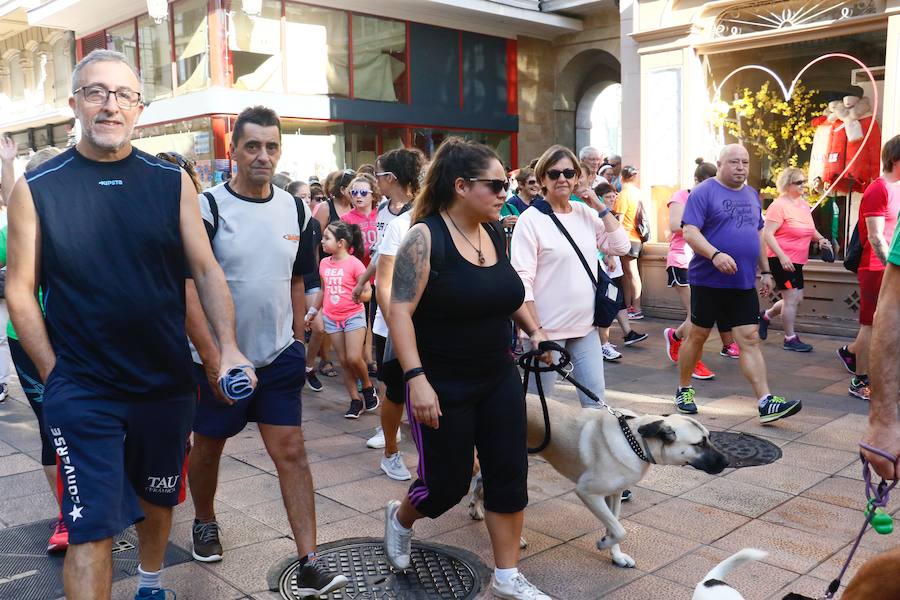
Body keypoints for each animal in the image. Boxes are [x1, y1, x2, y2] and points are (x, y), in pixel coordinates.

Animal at [472, 394, 732, 568]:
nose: (728, 461)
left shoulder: (614, 494)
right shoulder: (587, 492)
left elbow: (614, 524)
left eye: (709, 438)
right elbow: (620, 529)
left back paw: (475, 510)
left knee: (479, 482)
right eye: (699, 444)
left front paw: (615, 554)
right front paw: (604, 543)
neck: (634, 440)